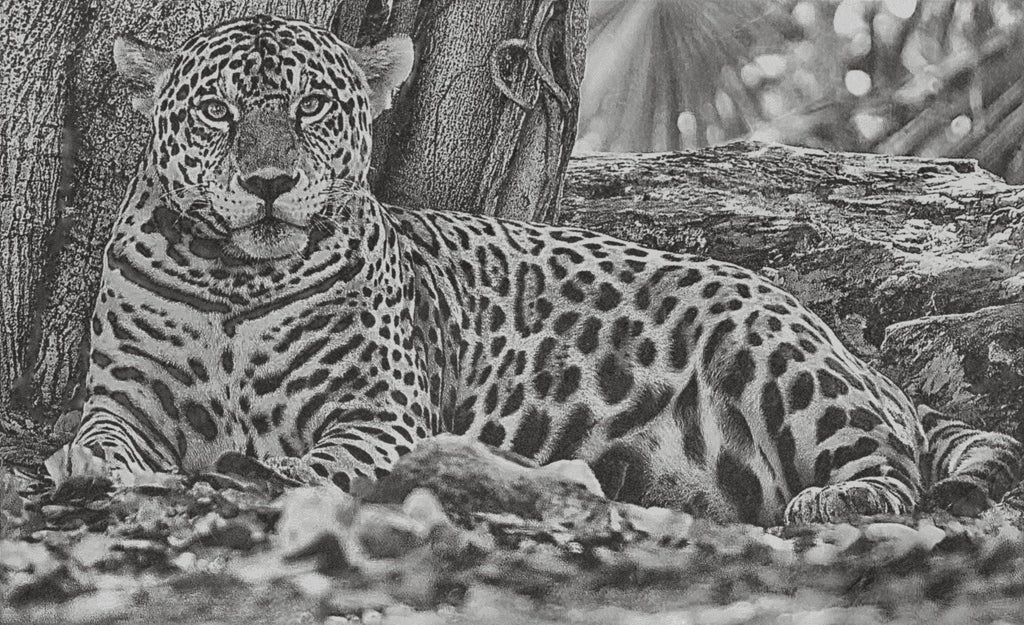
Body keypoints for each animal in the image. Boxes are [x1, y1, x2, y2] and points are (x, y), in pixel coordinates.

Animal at [62, 14, 1023, 526]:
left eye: (311, 108)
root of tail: (857, 356)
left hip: (770, 348)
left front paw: (275, 472)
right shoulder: (126, 396)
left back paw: (841, 502)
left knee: (896, 466)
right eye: (218, 113)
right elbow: (100, 433)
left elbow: (330, 457)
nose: (270, 183)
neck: (237, 279)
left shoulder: (384, 411)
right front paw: (86, 462)